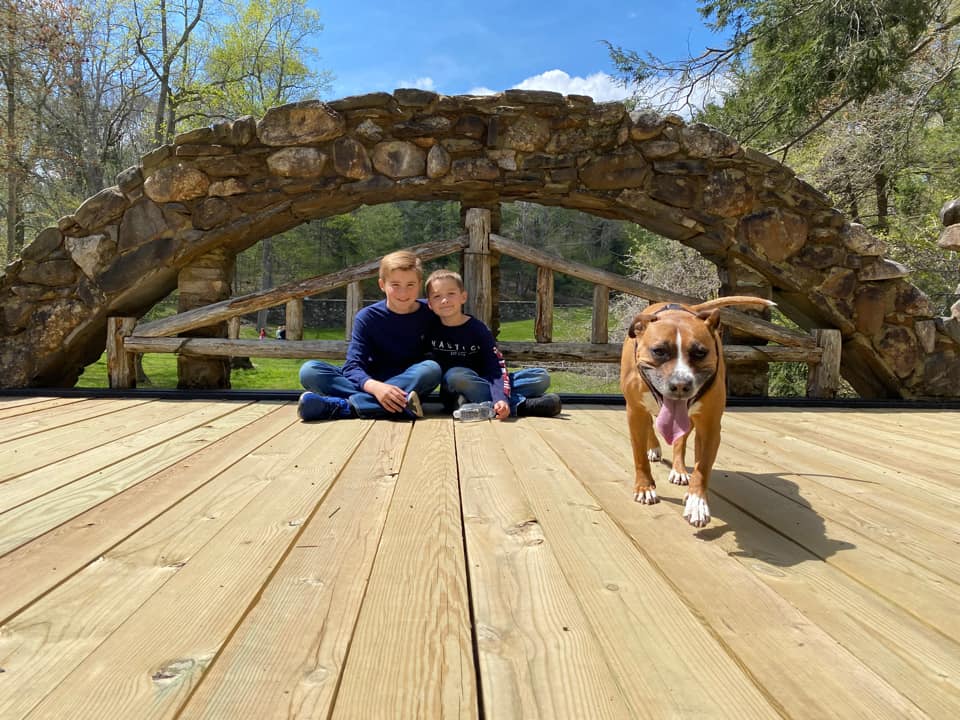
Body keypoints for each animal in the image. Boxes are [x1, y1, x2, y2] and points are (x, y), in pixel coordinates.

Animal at [624, 296, 772, 524]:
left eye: (700, 353)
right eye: (658, 351)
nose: (680, 384)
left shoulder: (710, 426)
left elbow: (702, 468)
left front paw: (697, 502)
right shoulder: (634, 411)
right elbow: (638, 454)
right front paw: (645, 487)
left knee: (680, 441)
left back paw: (679, 470)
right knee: (650, 425)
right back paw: (654, 447)